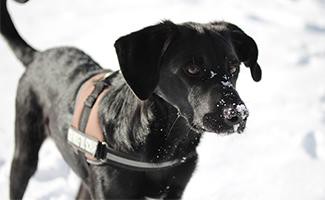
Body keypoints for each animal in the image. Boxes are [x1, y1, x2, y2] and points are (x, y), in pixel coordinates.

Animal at [0, 0, 260, 198]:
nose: (237, 115)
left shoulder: (175, 190)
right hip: (24, 155)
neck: (164, 143)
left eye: (234, 67)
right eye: (192, 68)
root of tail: (37, 55)